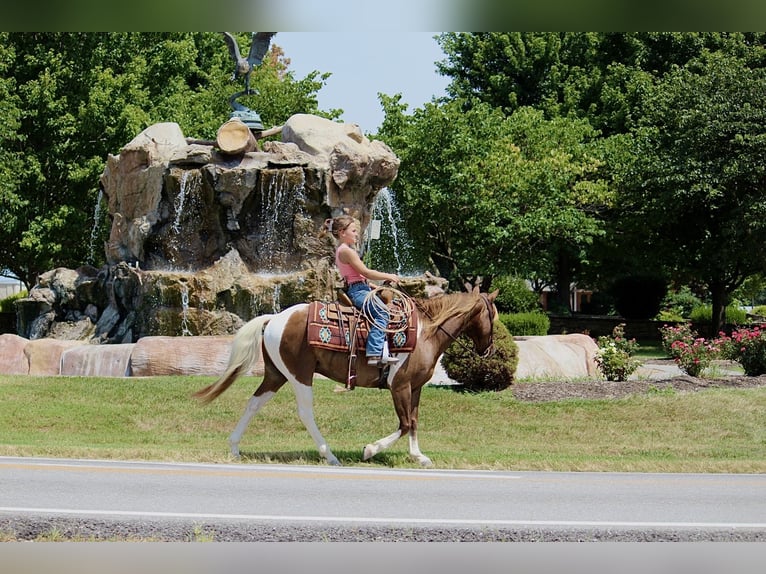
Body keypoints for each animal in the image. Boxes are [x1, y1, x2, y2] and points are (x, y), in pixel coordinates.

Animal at [193, 286, 499, 467]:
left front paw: (418, 456)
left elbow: (413, 422)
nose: (489, 349)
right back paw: (329, 455)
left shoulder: (415, 387)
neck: (426, 332)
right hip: (299, 375)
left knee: (254, 403)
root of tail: (274, 318)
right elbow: (403, 423)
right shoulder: (398, 385)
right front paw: (370, 450)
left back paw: (234, 447)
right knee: (305, 412)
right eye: (493, 316)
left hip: (276, 374)